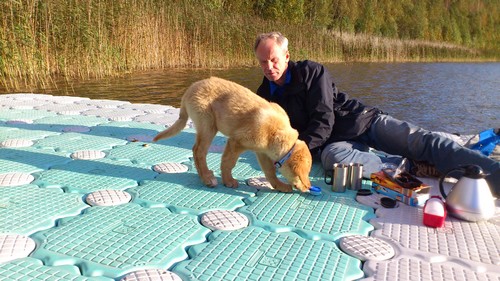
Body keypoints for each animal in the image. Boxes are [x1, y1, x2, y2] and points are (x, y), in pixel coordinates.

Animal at [152, 75, 310, 191]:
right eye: (304, 174)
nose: (308, 188)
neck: (276, 132)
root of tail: (190, 89)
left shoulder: (262, 152)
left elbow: (270, 171)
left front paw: (280, 186)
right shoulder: (236, 141)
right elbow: (228, 163)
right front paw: (228, 181)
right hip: (207, 124)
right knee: (198, 151)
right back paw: (207, 178)